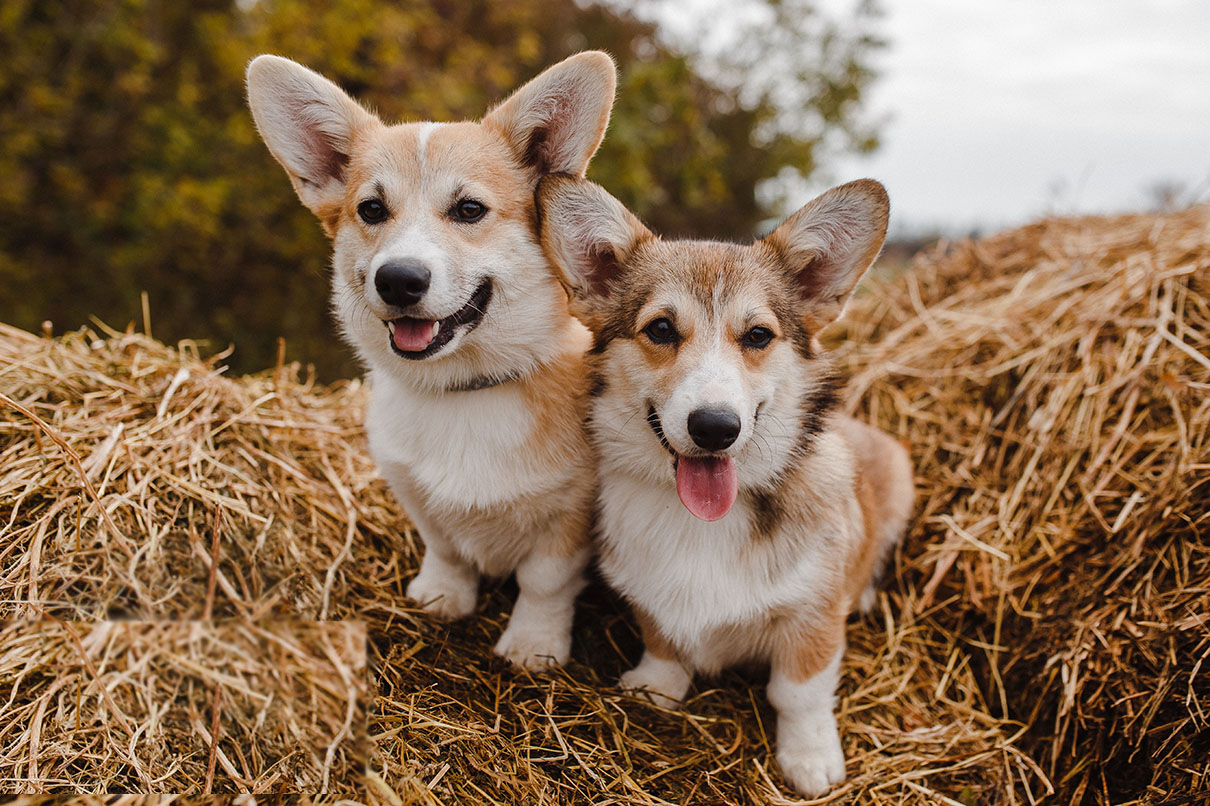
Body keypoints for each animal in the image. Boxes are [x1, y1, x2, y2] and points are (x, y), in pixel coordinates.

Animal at [249, 55, 619, 663]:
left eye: (469, 209)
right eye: (372, 209)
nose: (398, 279)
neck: (463, 391)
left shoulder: (571, 514)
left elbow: (544, 581)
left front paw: (533, 646)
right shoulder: (411, 491)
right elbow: (444, 547)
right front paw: (443, 597)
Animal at [539, 173, 914, 793]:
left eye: (758, 335)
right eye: (661, 329)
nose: (715, 428)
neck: (702, 523)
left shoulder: (812, 619)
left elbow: (798, 692)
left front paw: (811, 759)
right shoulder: (650, 597)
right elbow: (664, 642)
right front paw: (655, 688)